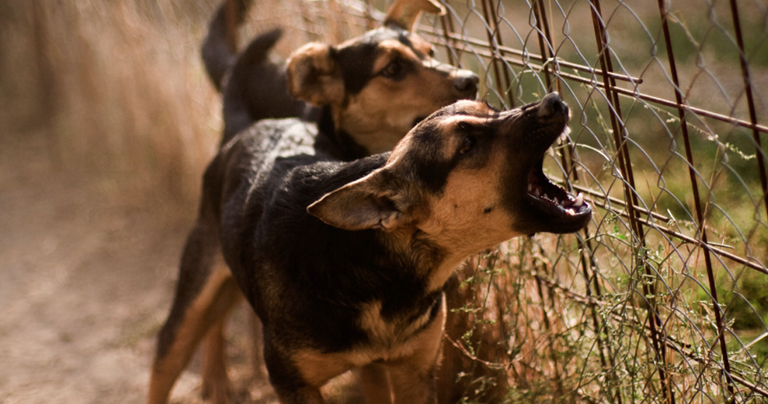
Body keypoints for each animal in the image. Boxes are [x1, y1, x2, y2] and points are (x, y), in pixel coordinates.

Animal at [146, 0, 476, 404]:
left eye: (430, 52)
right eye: (393, 69)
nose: (470, 80)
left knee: (219, 313)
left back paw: (217, 377)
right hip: (200, 275)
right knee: (176, 344)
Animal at [147, 92, 592, 404]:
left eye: (491, 108)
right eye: (467, 144)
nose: (555, 101)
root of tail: (249, 126)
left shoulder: (414, 371)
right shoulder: (292, 384)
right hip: (188, 305)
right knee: (167, 359)